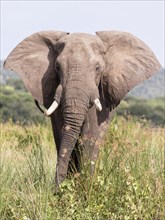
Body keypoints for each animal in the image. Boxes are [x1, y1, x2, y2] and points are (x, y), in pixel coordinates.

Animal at [4, 30, 162, 186]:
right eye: (57, 67)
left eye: (98, 68)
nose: (57, 188)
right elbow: (62, 131)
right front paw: (69, 186)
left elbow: (91, 133)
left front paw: (85, 186)